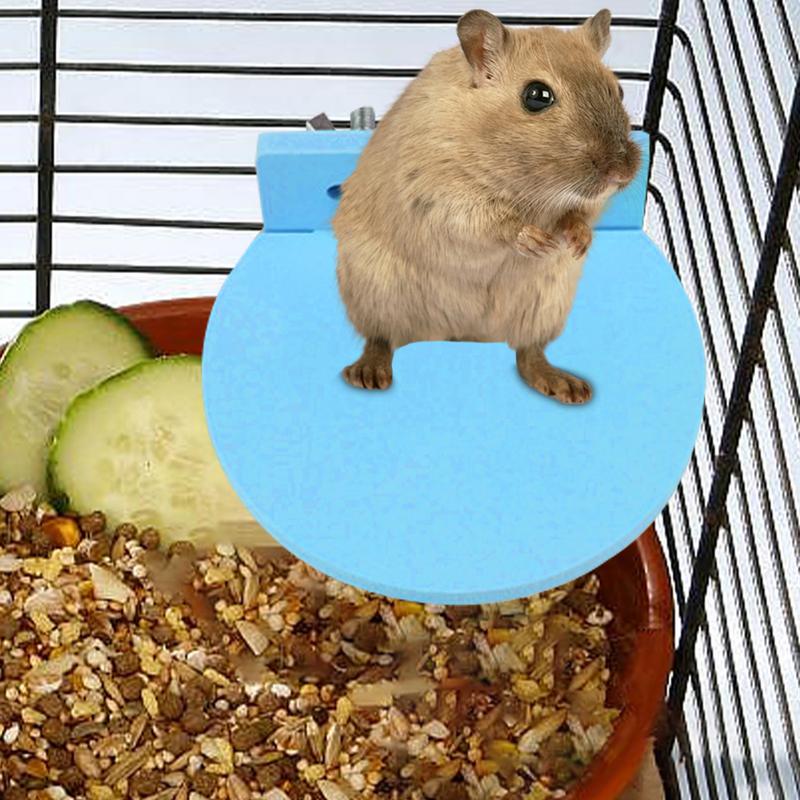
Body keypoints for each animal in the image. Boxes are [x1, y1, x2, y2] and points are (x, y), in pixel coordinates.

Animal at [332, 9, 640, 403]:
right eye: (537, 96)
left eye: (618, 89)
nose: (622, 173)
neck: (534, 189)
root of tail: (461, 334)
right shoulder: (440, 191)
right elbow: (491, 223)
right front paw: (536, 241)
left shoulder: (585, 205)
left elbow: (579, 216)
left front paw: (577, 243)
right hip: (374, 294)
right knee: (381, 339)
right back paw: (368, 374)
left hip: (544, 306)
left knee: (528, 353)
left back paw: (567, 387)